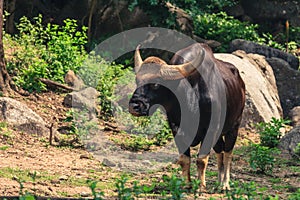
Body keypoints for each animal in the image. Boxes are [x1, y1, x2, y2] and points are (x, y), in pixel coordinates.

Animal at [127, 43, 245, 190]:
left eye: (156, 83)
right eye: (137, 80)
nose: (134, 106)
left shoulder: (211, 130)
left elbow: (201, 159)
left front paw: (200, 186)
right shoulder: (176, 128)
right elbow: (184, 159)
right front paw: (187, 184)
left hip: (234, 126)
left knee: (228, 153)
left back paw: (225, 184)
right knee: (220, 151)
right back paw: (218, 183)